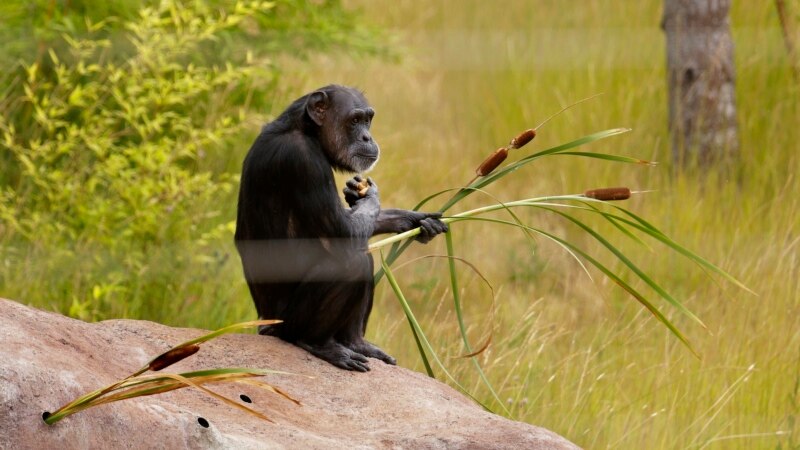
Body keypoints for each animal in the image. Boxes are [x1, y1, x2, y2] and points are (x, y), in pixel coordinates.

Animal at [236, 86, 450, 370]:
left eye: (368, 119)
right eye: (354, 120)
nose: (367, 136)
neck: (306, 130)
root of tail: (262, 324)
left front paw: (415, 220)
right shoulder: (304, 162)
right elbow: (343, 234)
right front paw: (370, 197)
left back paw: (356, 342)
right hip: (285, 325)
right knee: (351, 262)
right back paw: (320, 344)